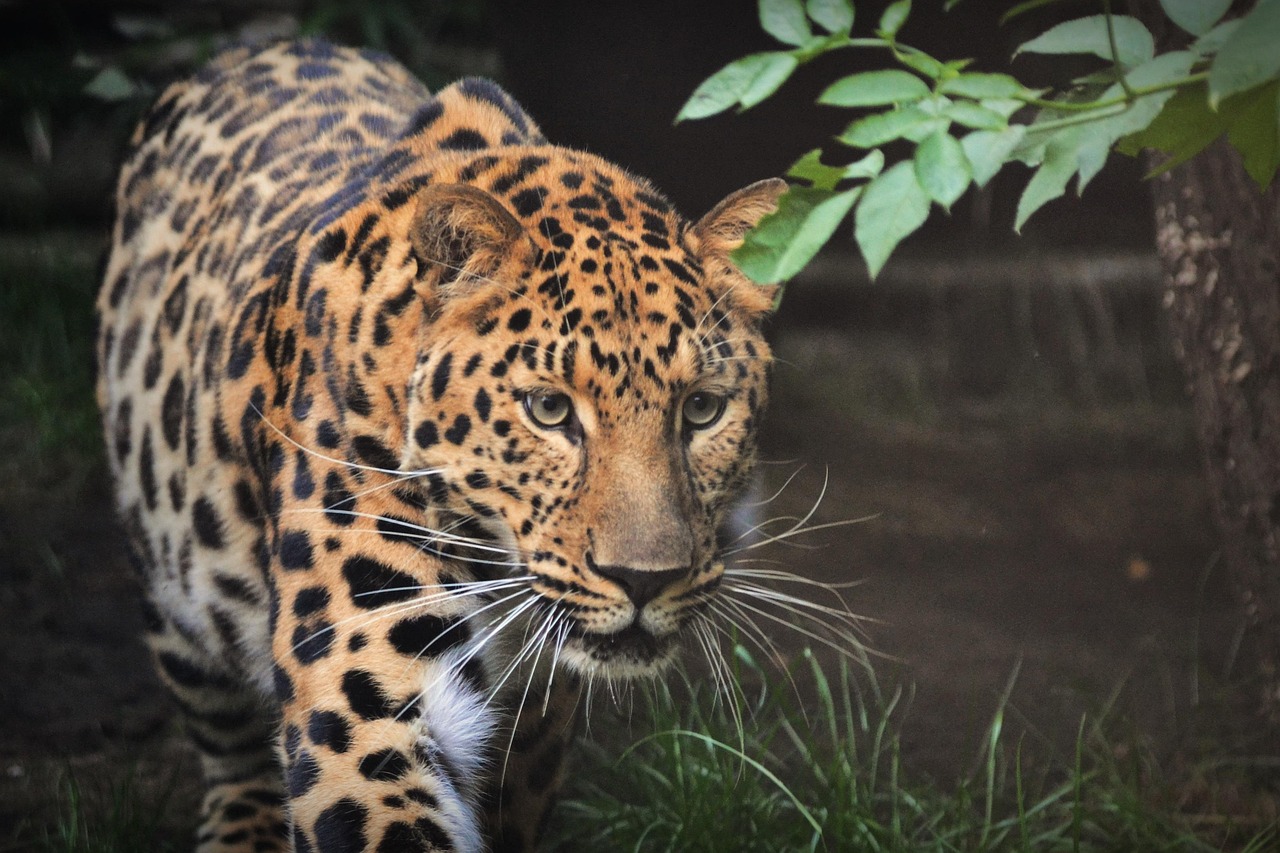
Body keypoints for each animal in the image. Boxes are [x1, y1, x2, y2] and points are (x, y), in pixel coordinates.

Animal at [97, 38, 786, 852]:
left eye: (702, 409)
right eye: (549, 409)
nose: (644, 581)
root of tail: (264, 43)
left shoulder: (535, 723)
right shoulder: (369, 711)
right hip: (173, 590)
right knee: (229, 743)